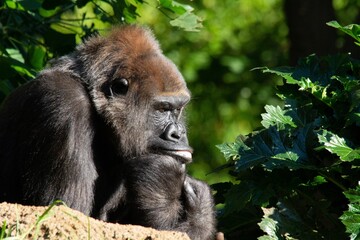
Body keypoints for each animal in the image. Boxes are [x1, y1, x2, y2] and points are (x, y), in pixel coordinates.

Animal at [0, 25, 217, 239]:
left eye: (178, 109)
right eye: (163, 109)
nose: (179, 134)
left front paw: (200, 209)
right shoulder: (63, 103)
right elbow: (64, 213)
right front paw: (162, 180)